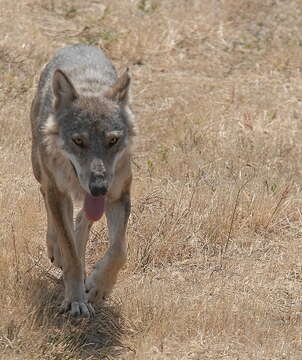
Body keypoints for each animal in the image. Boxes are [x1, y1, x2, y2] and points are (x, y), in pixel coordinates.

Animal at [30, 45, 134, 318]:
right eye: (78, 141)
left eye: (112, 140)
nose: (98, 187)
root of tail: (78, 45)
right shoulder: (57, 192)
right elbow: (71, 256)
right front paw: (76, 300)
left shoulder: (119, 195)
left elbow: (119, 251)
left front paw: (98, 288)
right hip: (40, 171)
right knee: (47, 201)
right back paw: (55, 248)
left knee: (82, 221)